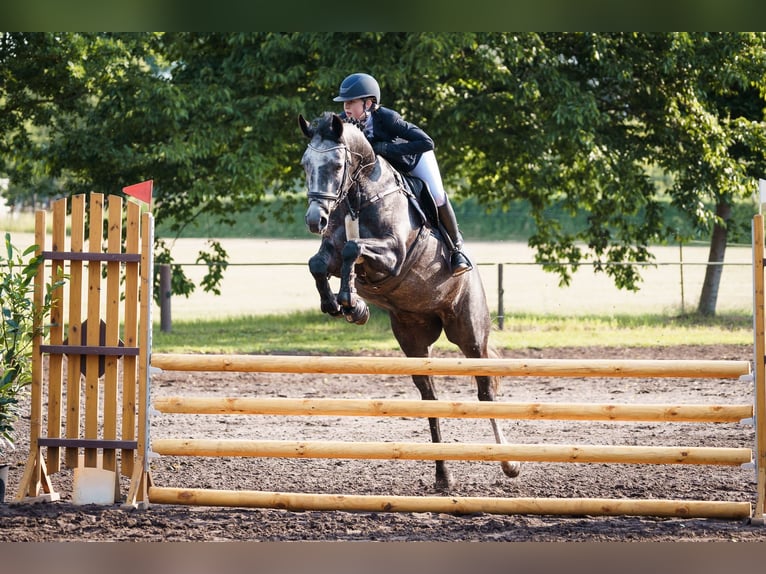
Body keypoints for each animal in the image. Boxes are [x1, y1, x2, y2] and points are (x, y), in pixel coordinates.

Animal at [298, 111, 520, 490]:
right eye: (305, 164)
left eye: (338, 164)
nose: (316, 220)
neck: (358, 195)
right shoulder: (335, 252)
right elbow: (321, 262)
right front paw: (345, 306)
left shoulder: (393, 254)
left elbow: (353, 249)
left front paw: (350, 301)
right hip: (413, 337)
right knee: (430, 399)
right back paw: (443, 476)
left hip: (469, 333)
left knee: (485, 392)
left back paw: (510, 464)